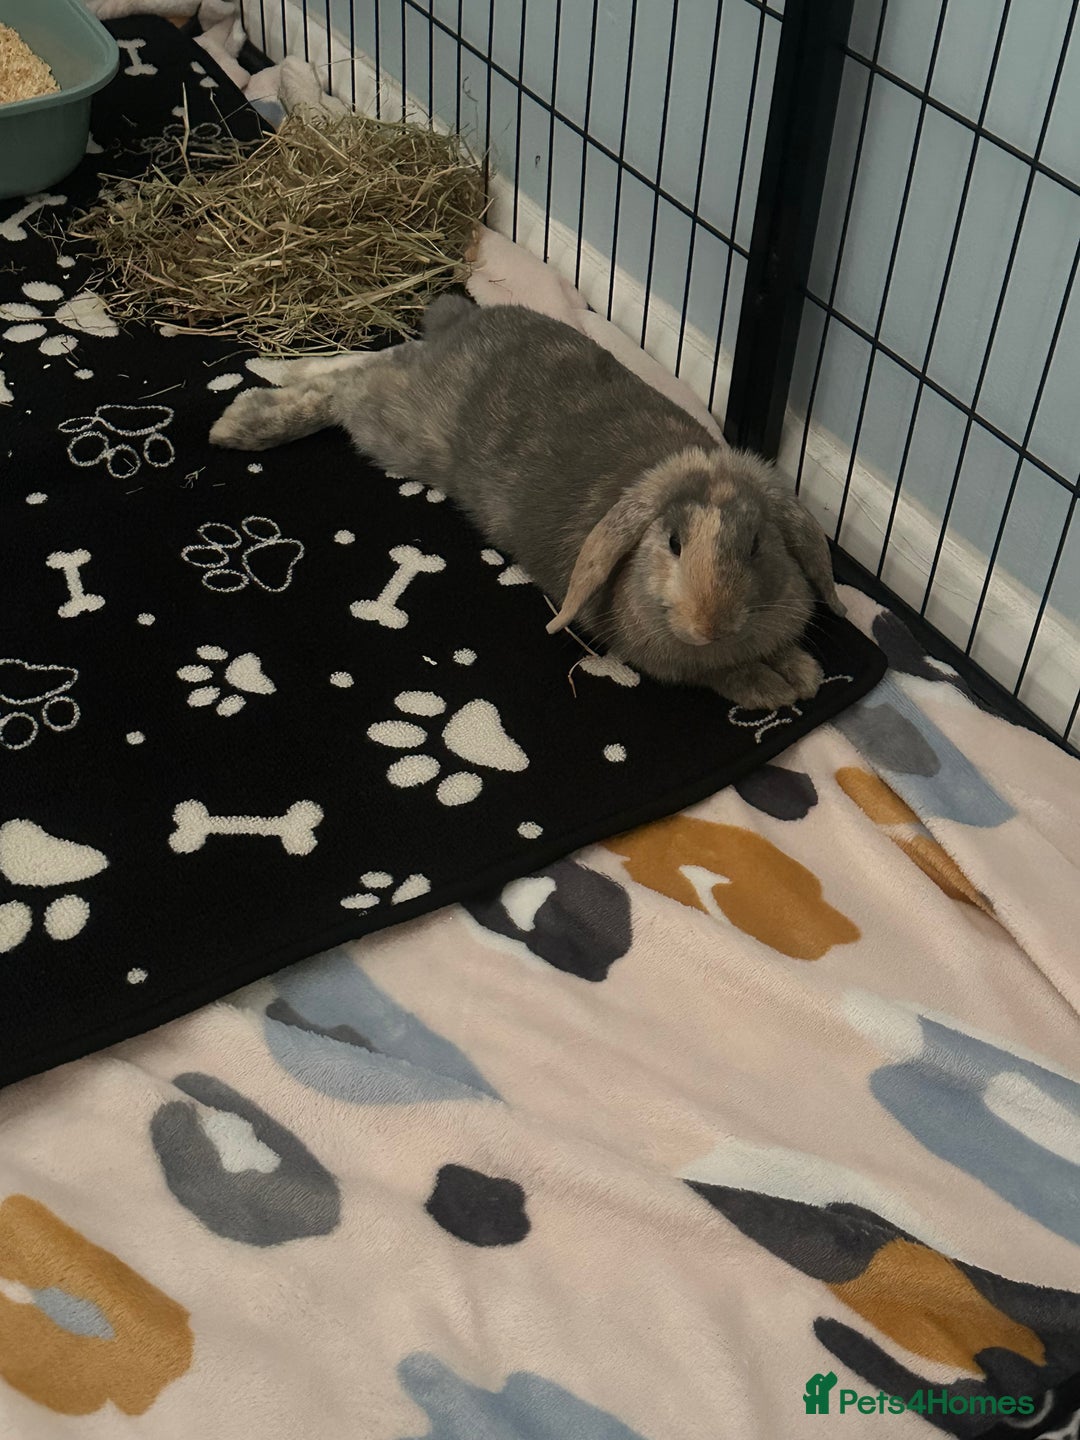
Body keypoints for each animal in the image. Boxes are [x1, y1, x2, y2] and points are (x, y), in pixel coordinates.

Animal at [210, 295, 844, 709]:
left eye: (756, 545)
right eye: (673, 543)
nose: (710, 625)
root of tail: (462, 319)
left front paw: (799, 672)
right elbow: (715, 675)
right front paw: (771, 687)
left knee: (376, 361)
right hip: (400, 429)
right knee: (350, 384)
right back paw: (244, 418)